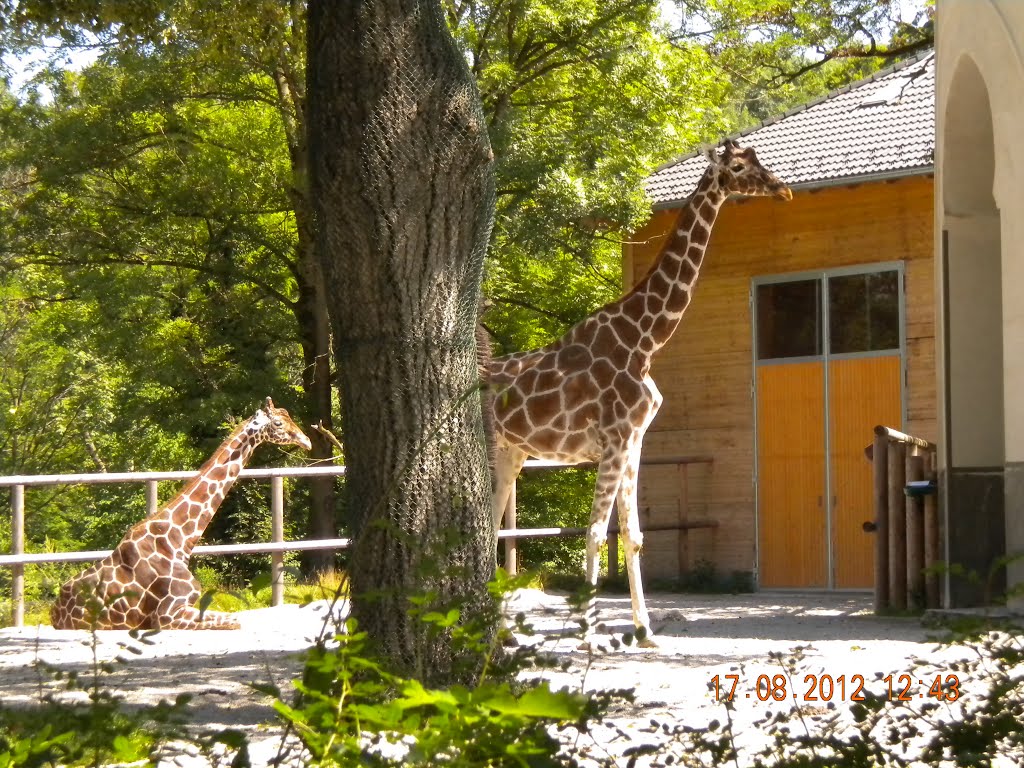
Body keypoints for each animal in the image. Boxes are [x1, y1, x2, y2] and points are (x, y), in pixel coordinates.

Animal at [50, 399, 311, 626]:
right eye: (278, 423)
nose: (307, 440)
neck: (180, 542)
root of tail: (54, 612)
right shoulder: (167, 614)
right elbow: (235, 621)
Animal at [489, 141, 790, 647]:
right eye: (738, 166)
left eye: (758, 158)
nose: (782, 188)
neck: (644, 341)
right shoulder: (613, 440)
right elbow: (594, 531)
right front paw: (588, 635)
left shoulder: (634, 441)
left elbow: (632, 534)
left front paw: (645, 629)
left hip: (513, 451)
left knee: (489, 528)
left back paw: (502, 633)